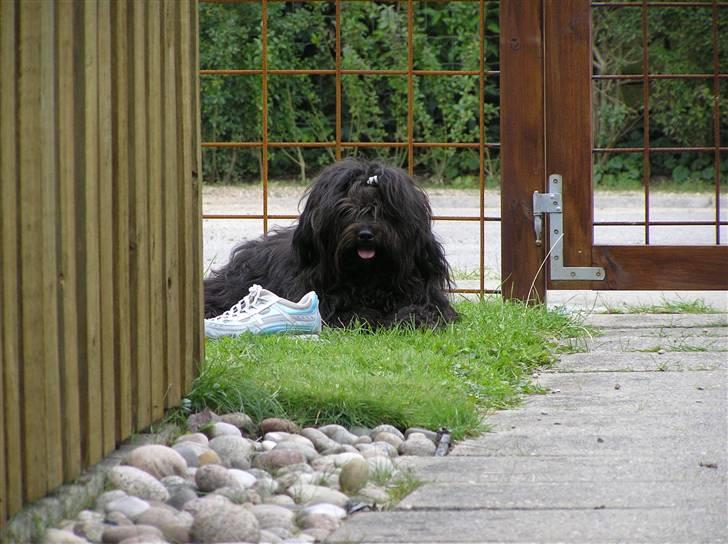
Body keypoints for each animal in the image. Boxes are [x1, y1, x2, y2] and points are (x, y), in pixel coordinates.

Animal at [202, 157, 458, 328]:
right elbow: (350, 313)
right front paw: (372, 317)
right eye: (346, 210)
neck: (368, 277)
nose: (365, 234)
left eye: (383, 211)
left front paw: (412, 317)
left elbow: (429, 309)